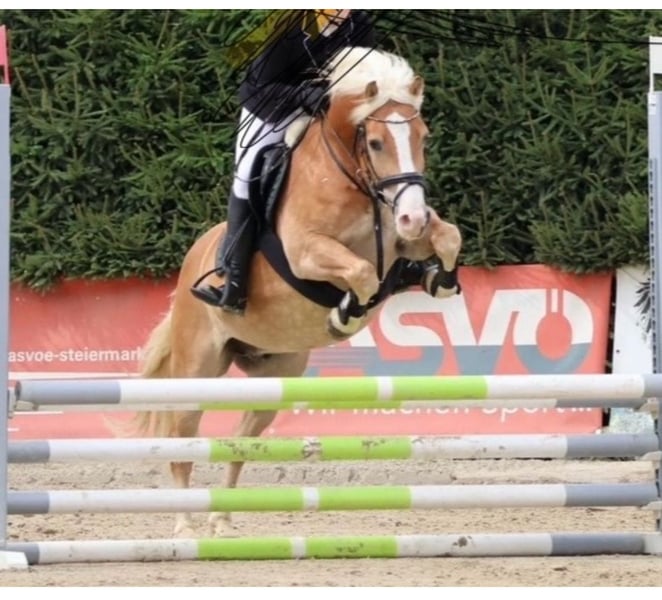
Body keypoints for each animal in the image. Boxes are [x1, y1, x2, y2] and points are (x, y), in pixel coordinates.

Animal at [126, 47, 462, 538]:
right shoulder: (307, 253)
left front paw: (440, 278)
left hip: (271, 377)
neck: (352, 181)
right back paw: (186, 526)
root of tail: (192, 258)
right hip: (196, 368)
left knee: (239, 441)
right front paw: (345, 315)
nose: (412, 217)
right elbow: (362, 272)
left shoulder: (403, 242)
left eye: (424, 137)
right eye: (375, 143)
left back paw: (222, 520)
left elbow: (448, 237)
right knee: (181, 440)